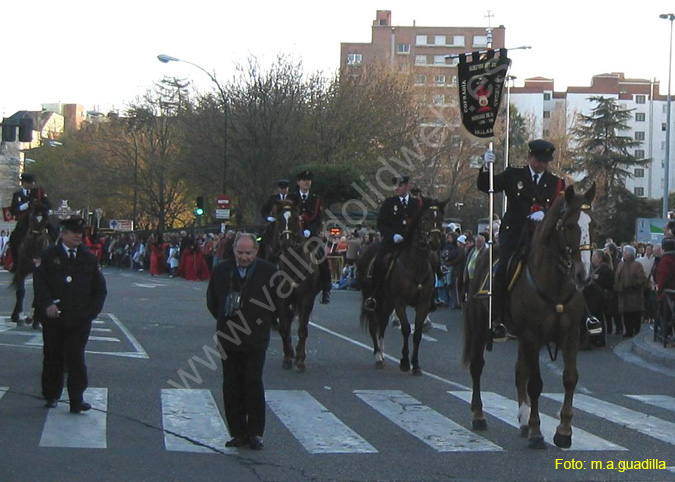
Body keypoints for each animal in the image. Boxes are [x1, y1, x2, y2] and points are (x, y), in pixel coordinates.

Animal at [266, 198, 322, 370]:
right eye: (279, 220)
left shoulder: (307, 298)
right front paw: (287, 357)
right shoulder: (282, 300)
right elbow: (284, 328)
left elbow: (303, 329)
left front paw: (300, 359)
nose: (286, 243)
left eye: (297, 219)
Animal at [356, 198, 446, 374]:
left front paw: (415, 364)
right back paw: (378, 356)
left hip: (387, 302)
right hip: (372, 298)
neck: (415, 266)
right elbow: (406, 329)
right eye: (425, 219)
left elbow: (417, 333)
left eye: (440, 219)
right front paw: (404, 362)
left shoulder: (422, 304)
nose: (435, 243)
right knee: (374, 325)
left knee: (382, 324)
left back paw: (382, 354)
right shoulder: (400, 302)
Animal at [462, 184, 596, 448]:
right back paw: (479, 415)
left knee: (519, 371)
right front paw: (537, 431)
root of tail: (483, 252)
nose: (584, 274)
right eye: (569, 225)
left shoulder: (570, 335)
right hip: (482, 326)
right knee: (478, 366)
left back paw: (522, 420)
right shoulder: (533, 335)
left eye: (592, 224)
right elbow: (536, 383)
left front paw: (564, 432)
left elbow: (570, 378)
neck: (555, 283)